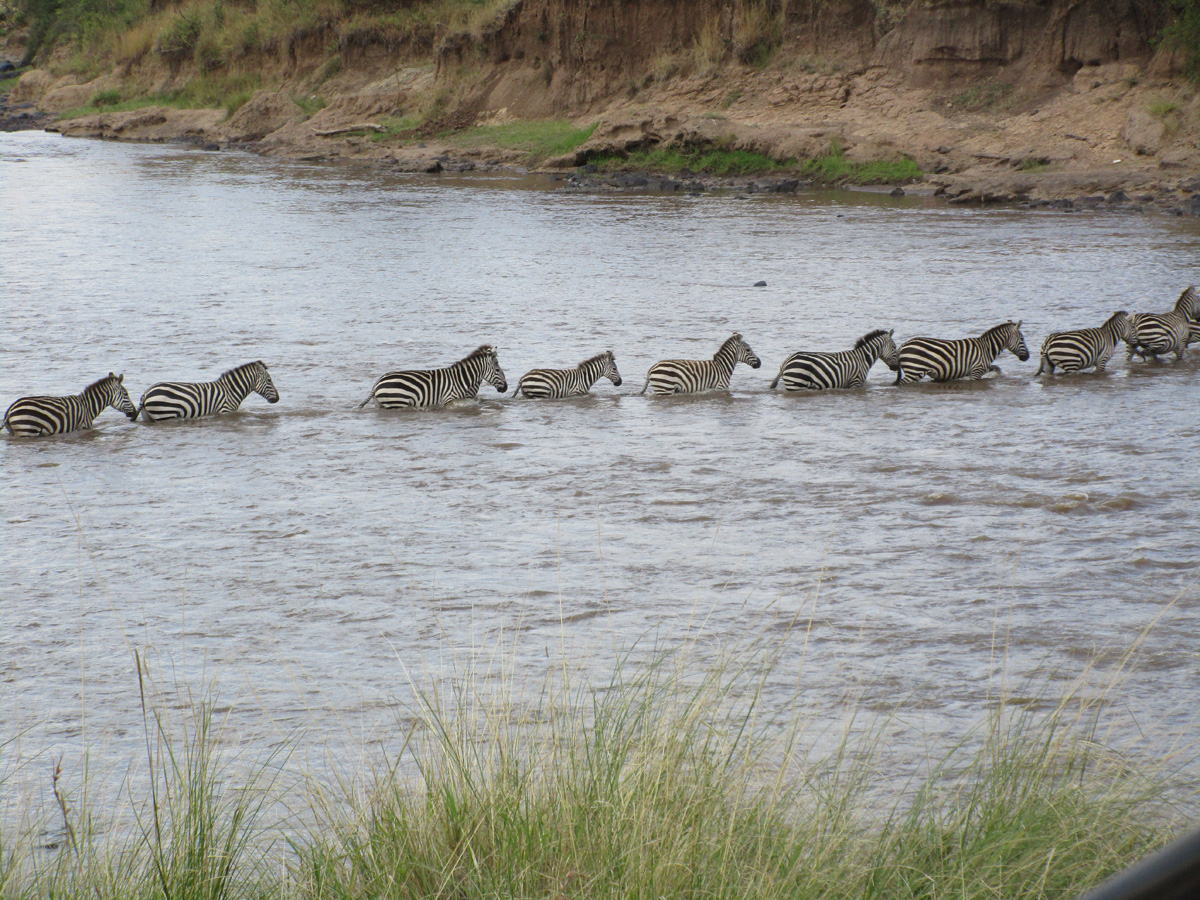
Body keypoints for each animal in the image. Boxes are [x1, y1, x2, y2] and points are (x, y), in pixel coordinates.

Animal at [4, 373, 137, 436]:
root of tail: (10, 409)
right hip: (27, 430)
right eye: (126, 394)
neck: (88, 407)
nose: (135, 413)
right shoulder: (83, 426)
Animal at [138, 361, 279, 422]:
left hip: (149, 416)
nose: (277, 399)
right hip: (164, 413)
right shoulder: (225, 410)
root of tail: (146, 394)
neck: (231, 390)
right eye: (269, 380)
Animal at [358, 345, 507, 409]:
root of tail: (378, 383)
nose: (505, 388)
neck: (463, 379)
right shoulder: (449, 399)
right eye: (497, 369)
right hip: (398, 402)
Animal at [770, 329, 899, 391]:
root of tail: (786, 361)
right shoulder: (855, 382)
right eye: (894, 347)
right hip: (796, 384)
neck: (862, 359)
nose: (896, 368)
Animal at [896, 320, 1029, 384]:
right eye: (1022, 339)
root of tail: (903, 345)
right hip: (914, 371)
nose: (1027, 357)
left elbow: (997, 368)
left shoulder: (982, 367)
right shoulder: (976, 370)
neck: (986, 348)